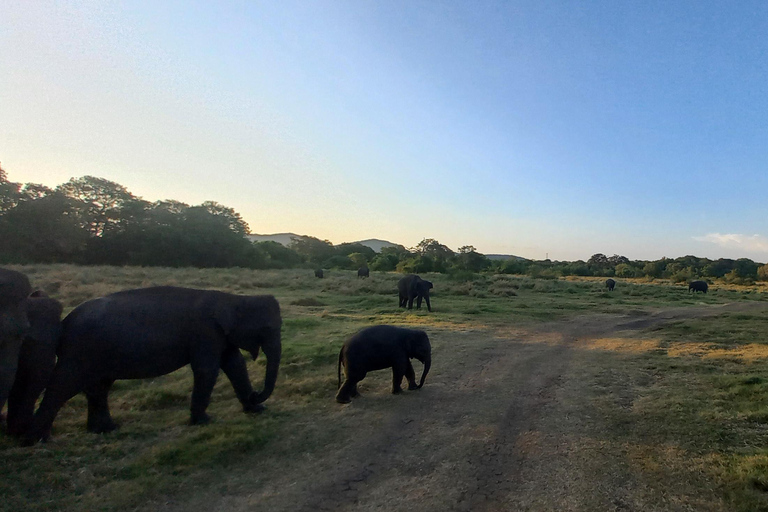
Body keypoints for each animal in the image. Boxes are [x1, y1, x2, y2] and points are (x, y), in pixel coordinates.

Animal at [22, 284, 284, 444]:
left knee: (99, 388)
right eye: (268, 328)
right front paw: (203, 422)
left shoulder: (220, 336)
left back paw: (105, 429)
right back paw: (36, 440)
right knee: (63, 385)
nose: (255, 395)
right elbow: (207, 370)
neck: (232, 298)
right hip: (79, 351)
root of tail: (64, 324)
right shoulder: (205, 332)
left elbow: (235, 364)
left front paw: (257, 410)